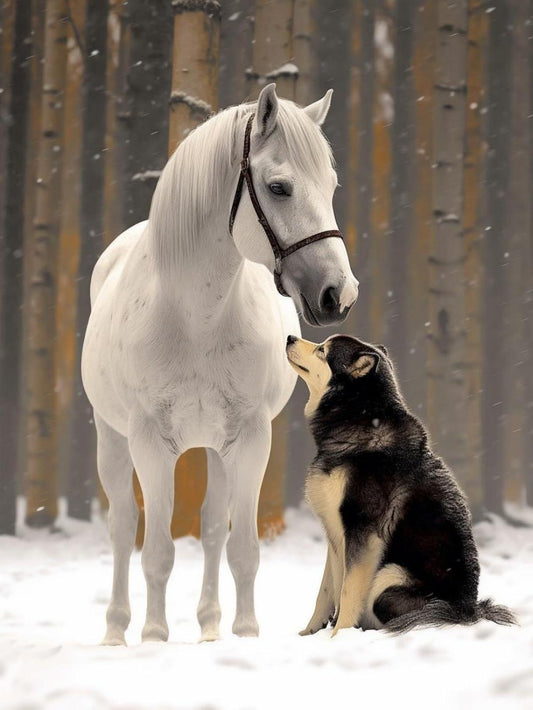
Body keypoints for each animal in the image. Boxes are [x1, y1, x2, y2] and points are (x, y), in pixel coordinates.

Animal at [82, 83, 359, 645]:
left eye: (331, 184)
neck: (195, 319)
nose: (339, 295)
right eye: (279, 188)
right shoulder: (149, 442)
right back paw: (116, 631)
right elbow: (157, 551)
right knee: (122, 526)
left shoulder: (250, 438)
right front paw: (154, 637)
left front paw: (245, 632)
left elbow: (241, 548)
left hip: (215, 445)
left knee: (211, 528)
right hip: (112, 436)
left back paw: (210, 627)